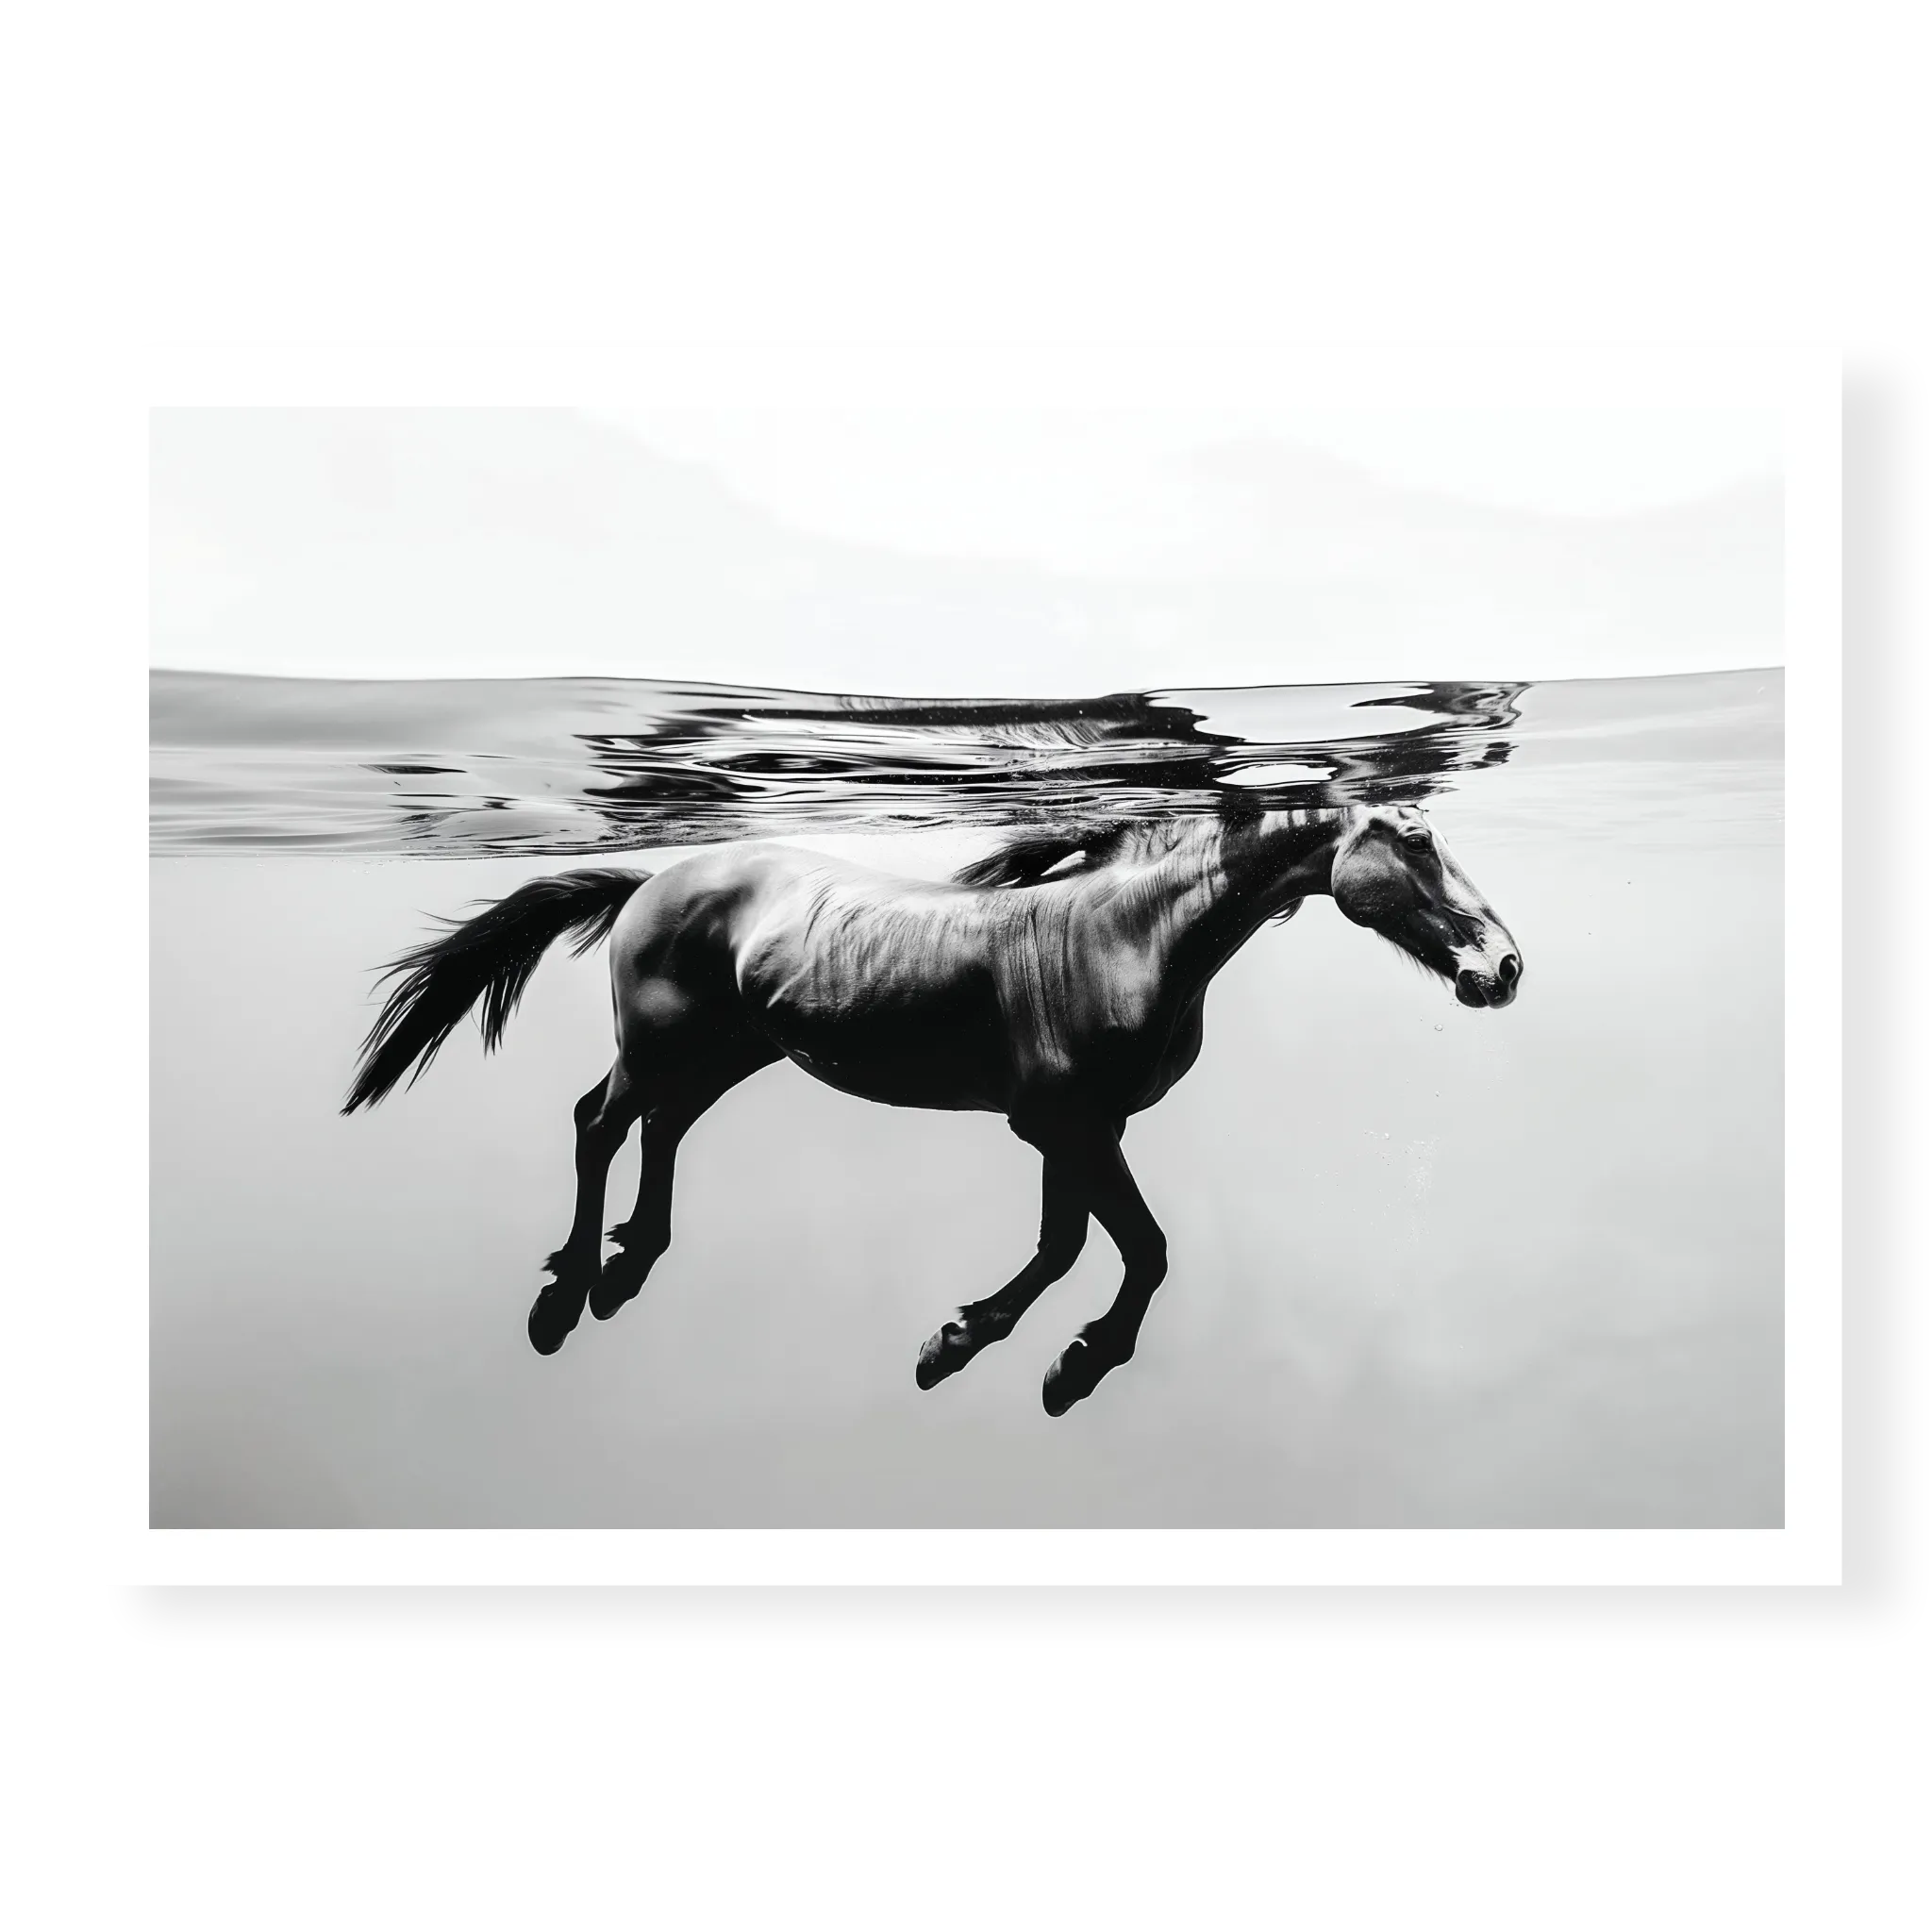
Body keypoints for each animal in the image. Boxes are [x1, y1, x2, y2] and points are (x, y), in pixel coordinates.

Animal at [342, 803, 1523, 1415]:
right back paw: (564, 1294)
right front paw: (1057, 1361)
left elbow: (1063, 1243)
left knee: (659, 1130)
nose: (1501, 966)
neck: (1127, 935)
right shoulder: (1067, 1125)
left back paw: (625, 1271)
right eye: (1413, 839)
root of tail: (649, 882)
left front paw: (970, 1347)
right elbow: (1135, 1248)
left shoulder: (1076, 1129)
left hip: (731, 1053)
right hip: (663, 1046)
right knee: (599, 1120)